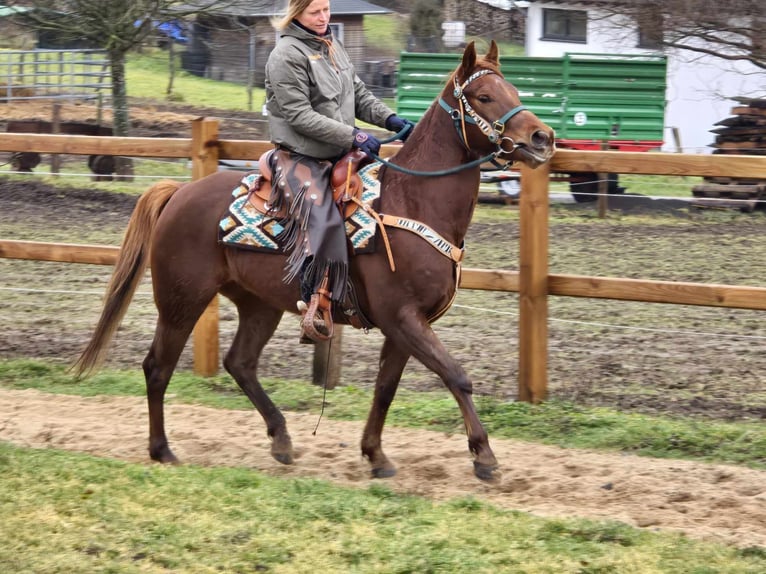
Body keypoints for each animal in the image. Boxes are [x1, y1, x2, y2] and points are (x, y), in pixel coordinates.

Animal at [78, 41, 556, 482]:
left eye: (513, 90)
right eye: (484, 97)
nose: (542, 138)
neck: (413, 201)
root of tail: (179, 193)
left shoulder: (406, 325)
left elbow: (386, 387)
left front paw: (375, 455)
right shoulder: (403, 317)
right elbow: (456, 376)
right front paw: (484, 456)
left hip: (259, 304)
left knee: (240, 363)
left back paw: (282, 440)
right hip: (182, 300)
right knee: (158, 367)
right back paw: (162, 449)